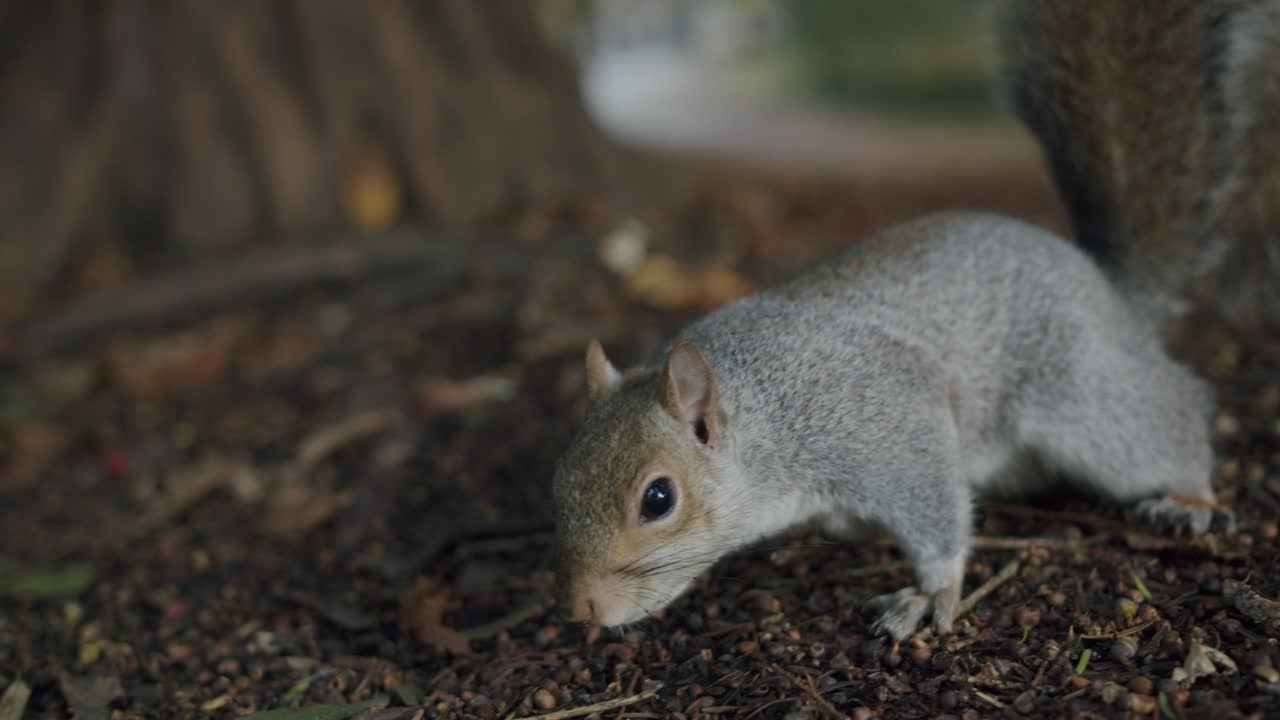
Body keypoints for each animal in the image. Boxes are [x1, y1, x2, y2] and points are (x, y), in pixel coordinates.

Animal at [549, 0, 1265, 641]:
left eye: (658, 499)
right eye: (559, 480)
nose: (582, 611)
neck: (766, 414)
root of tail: (1105, 285)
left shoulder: (890, 425)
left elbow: (934, 508)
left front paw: (932, 591)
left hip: (1080, 397)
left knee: (1168, 415)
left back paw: (1188, 497)